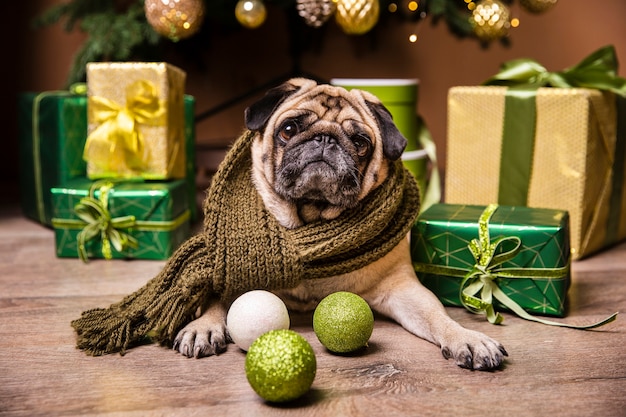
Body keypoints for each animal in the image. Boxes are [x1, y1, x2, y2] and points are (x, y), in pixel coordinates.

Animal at [172, 79, 508, 370]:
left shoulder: (403, 287)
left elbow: (438, 316)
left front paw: (466, 337)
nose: (325, 138)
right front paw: (203, 326)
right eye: (289, 129)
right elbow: (213, 296)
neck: (311, 221)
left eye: (360, 142)